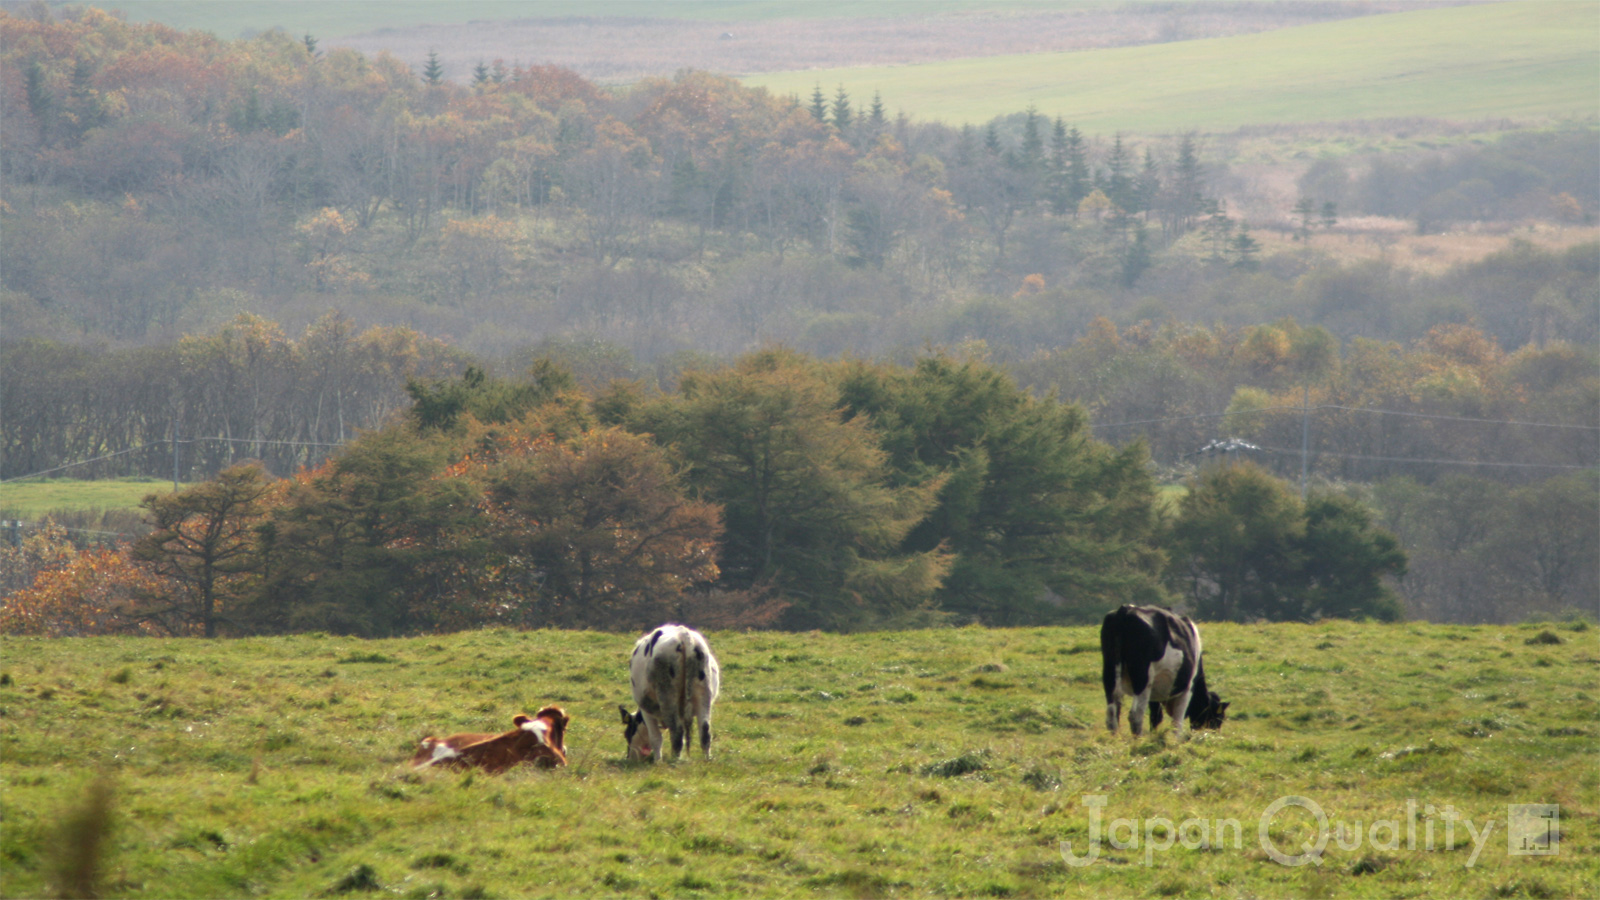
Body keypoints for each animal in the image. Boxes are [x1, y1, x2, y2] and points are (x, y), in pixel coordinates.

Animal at [620, 621, 723, 759]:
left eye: (627, 734)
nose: (629, 757)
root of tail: (683, 634)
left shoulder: (646, 709)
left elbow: (656, 738)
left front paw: (658, 761)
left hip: (667, 695)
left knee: (677, 732)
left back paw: (674, 760)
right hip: (704, 694)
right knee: (705, 731)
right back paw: (706, 759)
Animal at [1100, 602, 1222, 736]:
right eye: (1217, 719)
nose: (1211, 736)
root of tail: (1125, 610)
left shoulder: (1154, 691)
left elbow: (1156, 717)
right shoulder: (1187, 688)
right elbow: (1177, 722)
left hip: (1110, 672)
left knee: (1112, 711)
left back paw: (1115, 738)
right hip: (1143, 677)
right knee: (1135, 715)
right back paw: (1138, 739)